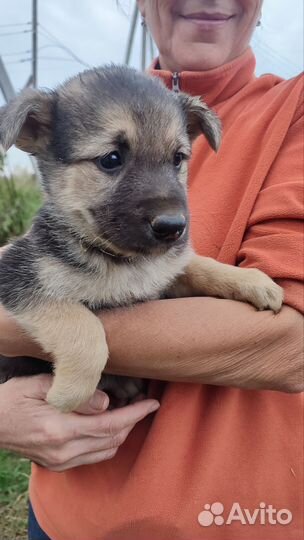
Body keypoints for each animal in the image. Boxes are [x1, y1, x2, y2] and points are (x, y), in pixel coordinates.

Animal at [0, 66, 282, 414]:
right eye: (111, 159)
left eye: (177, 158)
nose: (173, 226)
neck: (124, 260)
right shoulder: (18, 276)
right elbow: (84, 327)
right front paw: (68, 394)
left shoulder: (165, 276)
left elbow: (200, 265)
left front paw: (253, 281)